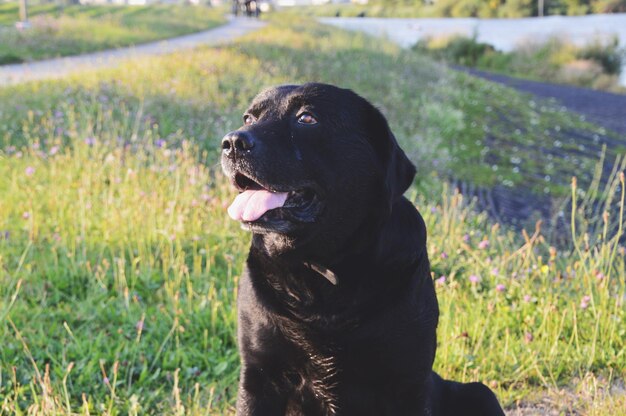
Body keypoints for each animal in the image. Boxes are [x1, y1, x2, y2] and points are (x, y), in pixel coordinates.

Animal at [219, 83, 502, 414]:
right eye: (249, 118)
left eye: (307, 118)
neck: (324, 270)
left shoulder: (408, 382)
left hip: (481, 392)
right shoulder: (260, 375)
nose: (232, 142)